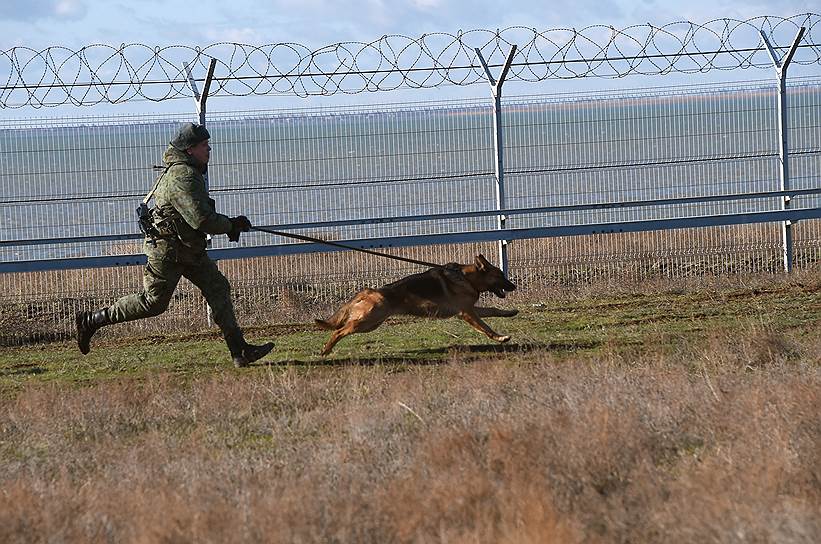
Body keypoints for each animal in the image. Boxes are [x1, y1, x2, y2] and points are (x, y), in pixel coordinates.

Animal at [316, 256, 520, 356]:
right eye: (500, 275)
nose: (514, 286)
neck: (467, 278)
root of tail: (370, 291)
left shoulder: (471, 310)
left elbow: (494, 311)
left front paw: (510, 312)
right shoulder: (467, 313)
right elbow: (486, 328)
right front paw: (500, 338)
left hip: (372, 323)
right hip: (368, 322)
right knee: (339, 331)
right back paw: (326, 349)